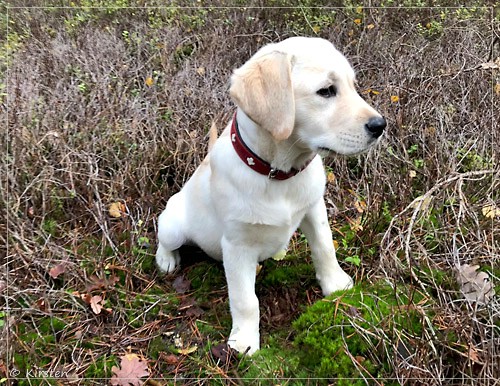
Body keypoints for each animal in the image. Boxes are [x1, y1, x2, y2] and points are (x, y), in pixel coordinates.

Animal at [156, 37, 386, 356]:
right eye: (326, 91)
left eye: (353, 85)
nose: (380, 126)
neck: (278, 173)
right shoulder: (236, 245)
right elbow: (245, 299)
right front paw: (244, 341)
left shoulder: (315, 209)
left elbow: (325, 248)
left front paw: (335, 284)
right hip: (173, 225)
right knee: (163, 237)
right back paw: (165, 259)